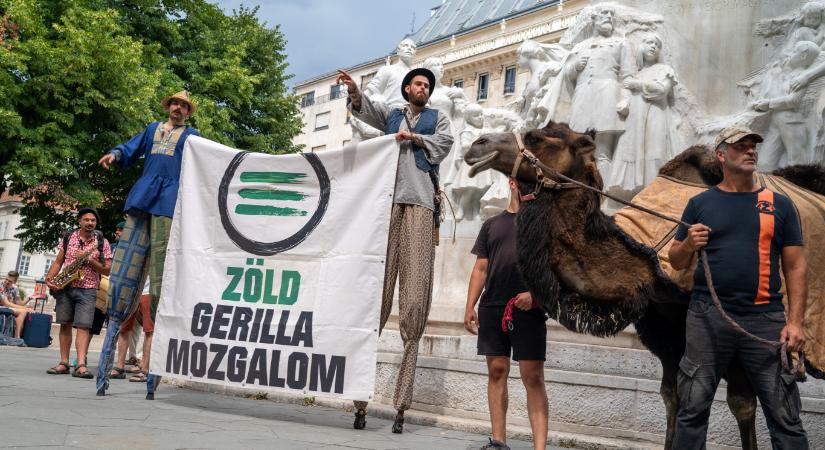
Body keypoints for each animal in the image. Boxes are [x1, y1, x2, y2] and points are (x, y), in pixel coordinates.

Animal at [464, 121, 824, 448]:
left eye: (537, 137)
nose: (476, 145)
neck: (649, 263)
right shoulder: (666, 328)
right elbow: (673, 396)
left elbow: (742, 403)